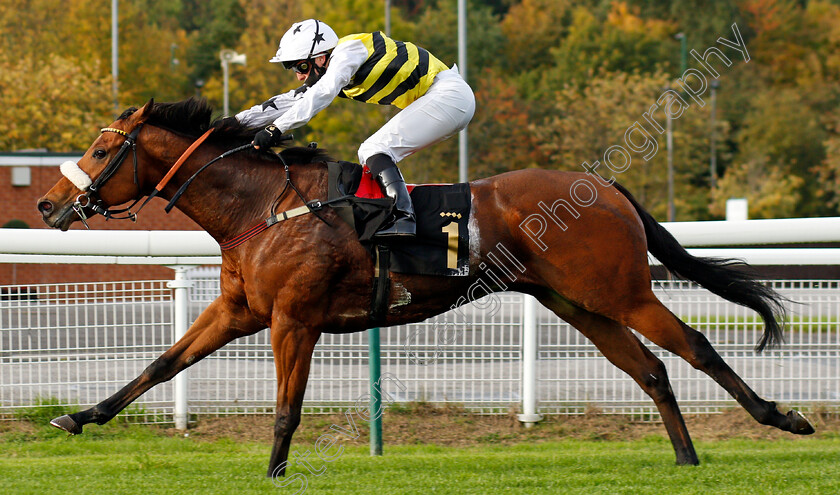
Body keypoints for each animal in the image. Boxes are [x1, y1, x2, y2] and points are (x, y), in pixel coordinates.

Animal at [37, 98, 812, 476]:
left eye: (102, 151)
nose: (47, 205)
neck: (261, 206)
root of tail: (608, 188)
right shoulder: (239, 310)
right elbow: (160, 364)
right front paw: (79, 416)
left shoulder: (294, 319)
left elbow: (287, 408)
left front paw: (276, 471)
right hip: (577, 303)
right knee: (651, 368)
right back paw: (685, 456)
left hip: (620, 292)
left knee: (696, 345)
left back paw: (784, 419)